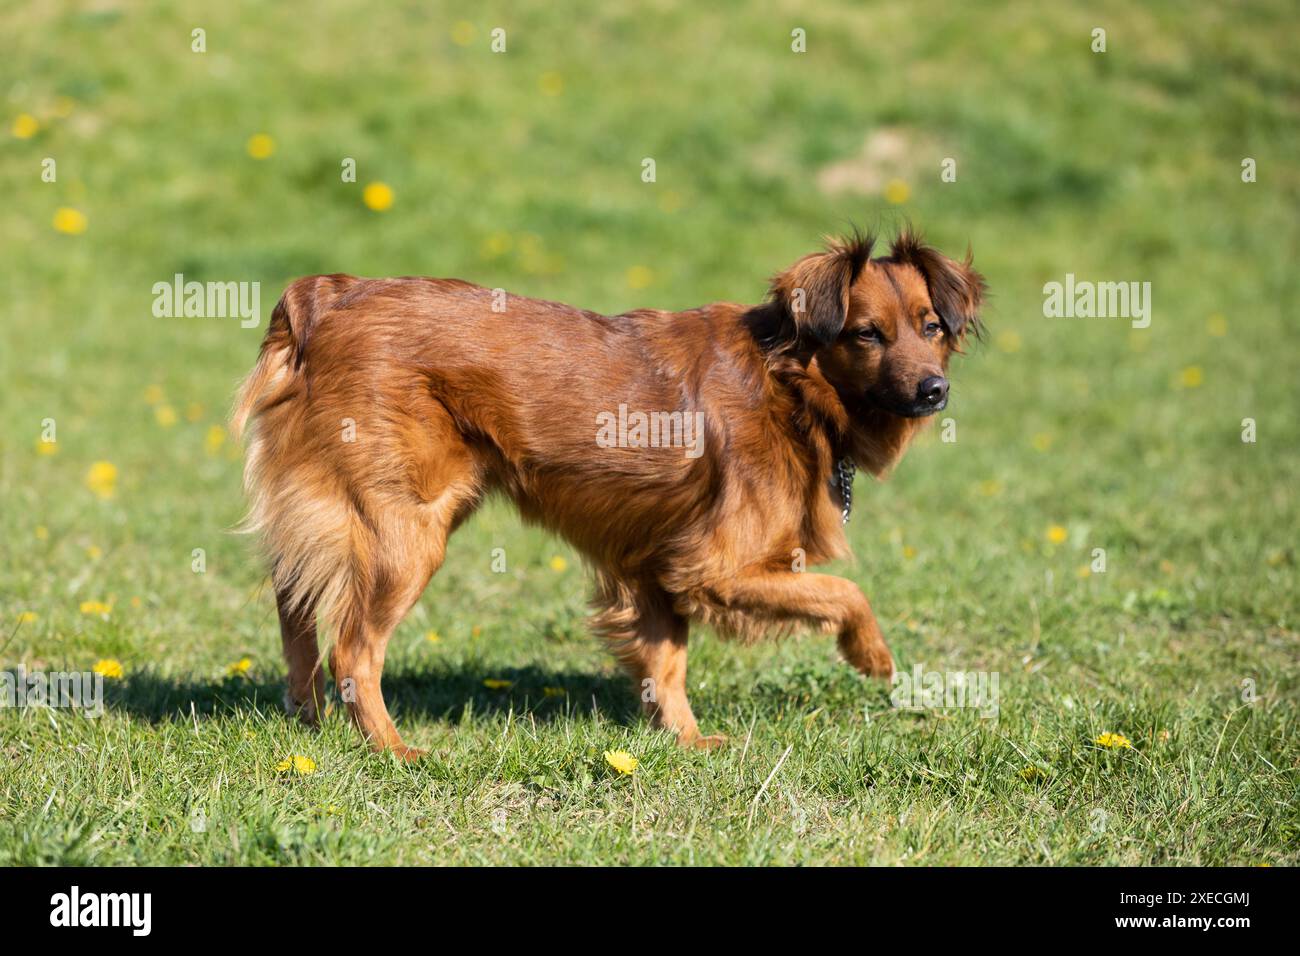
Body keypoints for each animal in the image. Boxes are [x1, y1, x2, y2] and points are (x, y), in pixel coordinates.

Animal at [233, 230, 982, 754]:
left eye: (931, 327)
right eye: (866, 334)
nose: (935, 391)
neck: (788, 383)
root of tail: (326, 296)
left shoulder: (657, 566)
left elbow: (667, 660)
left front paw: (685, 741)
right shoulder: (714, 567)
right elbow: (844, 592)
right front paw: (873, 656)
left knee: (295, 609)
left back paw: (309, 718)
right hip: (407, 531)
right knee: (354, 649)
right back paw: (392, 749)